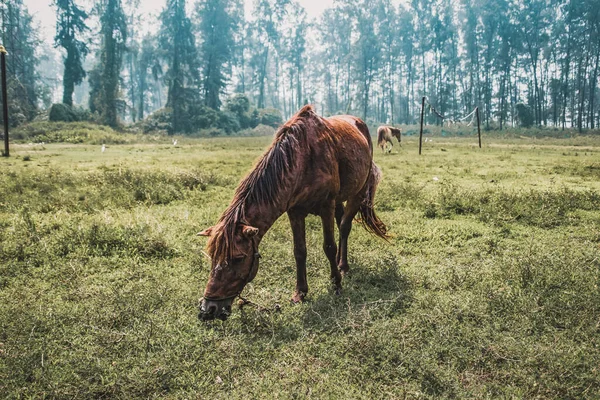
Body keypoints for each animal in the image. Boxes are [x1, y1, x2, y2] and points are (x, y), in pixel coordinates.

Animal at [197, 104, 390, 320]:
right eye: (212, 256)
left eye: (238, 258)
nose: (208, 309)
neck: (303, 160)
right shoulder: (295, 212)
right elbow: (299, 251)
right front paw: (300, 292)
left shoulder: (326, 206)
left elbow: (328, 247)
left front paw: (336, 284)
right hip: (340, 198)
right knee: (341, 223)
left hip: (358, 192)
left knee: (345, 226)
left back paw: (343, 266)